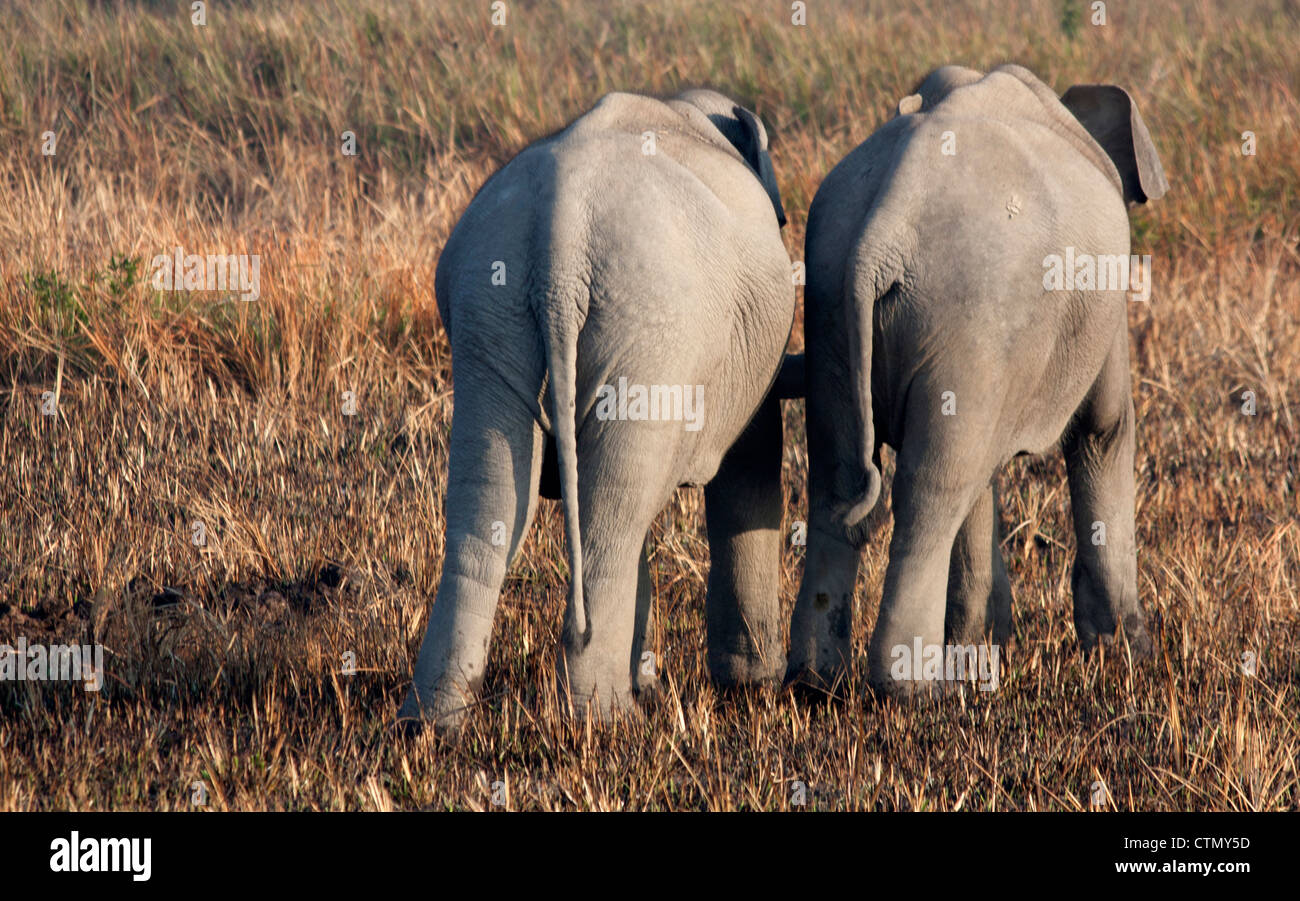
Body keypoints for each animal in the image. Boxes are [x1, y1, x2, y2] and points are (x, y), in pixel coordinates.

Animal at [397, 85, 790, 733]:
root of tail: (559, 241)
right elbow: (749, 456)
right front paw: (742, 686)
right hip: (652, 323)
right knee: (614, 514)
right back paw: (606, 719)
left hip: (489, 308)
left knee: (488, 505)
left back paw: (433, 723)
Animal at [780, 65, 1170, 696]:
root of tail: (880, 232)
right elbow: (1102, 430)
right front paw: (1130, 657)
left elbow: (989, 473)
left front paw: (983, 651)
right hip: (965, 311)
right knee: (932, 486)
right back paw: (912, 691)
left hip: (833, 303)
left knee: (843, 478)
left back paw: (817, 683)